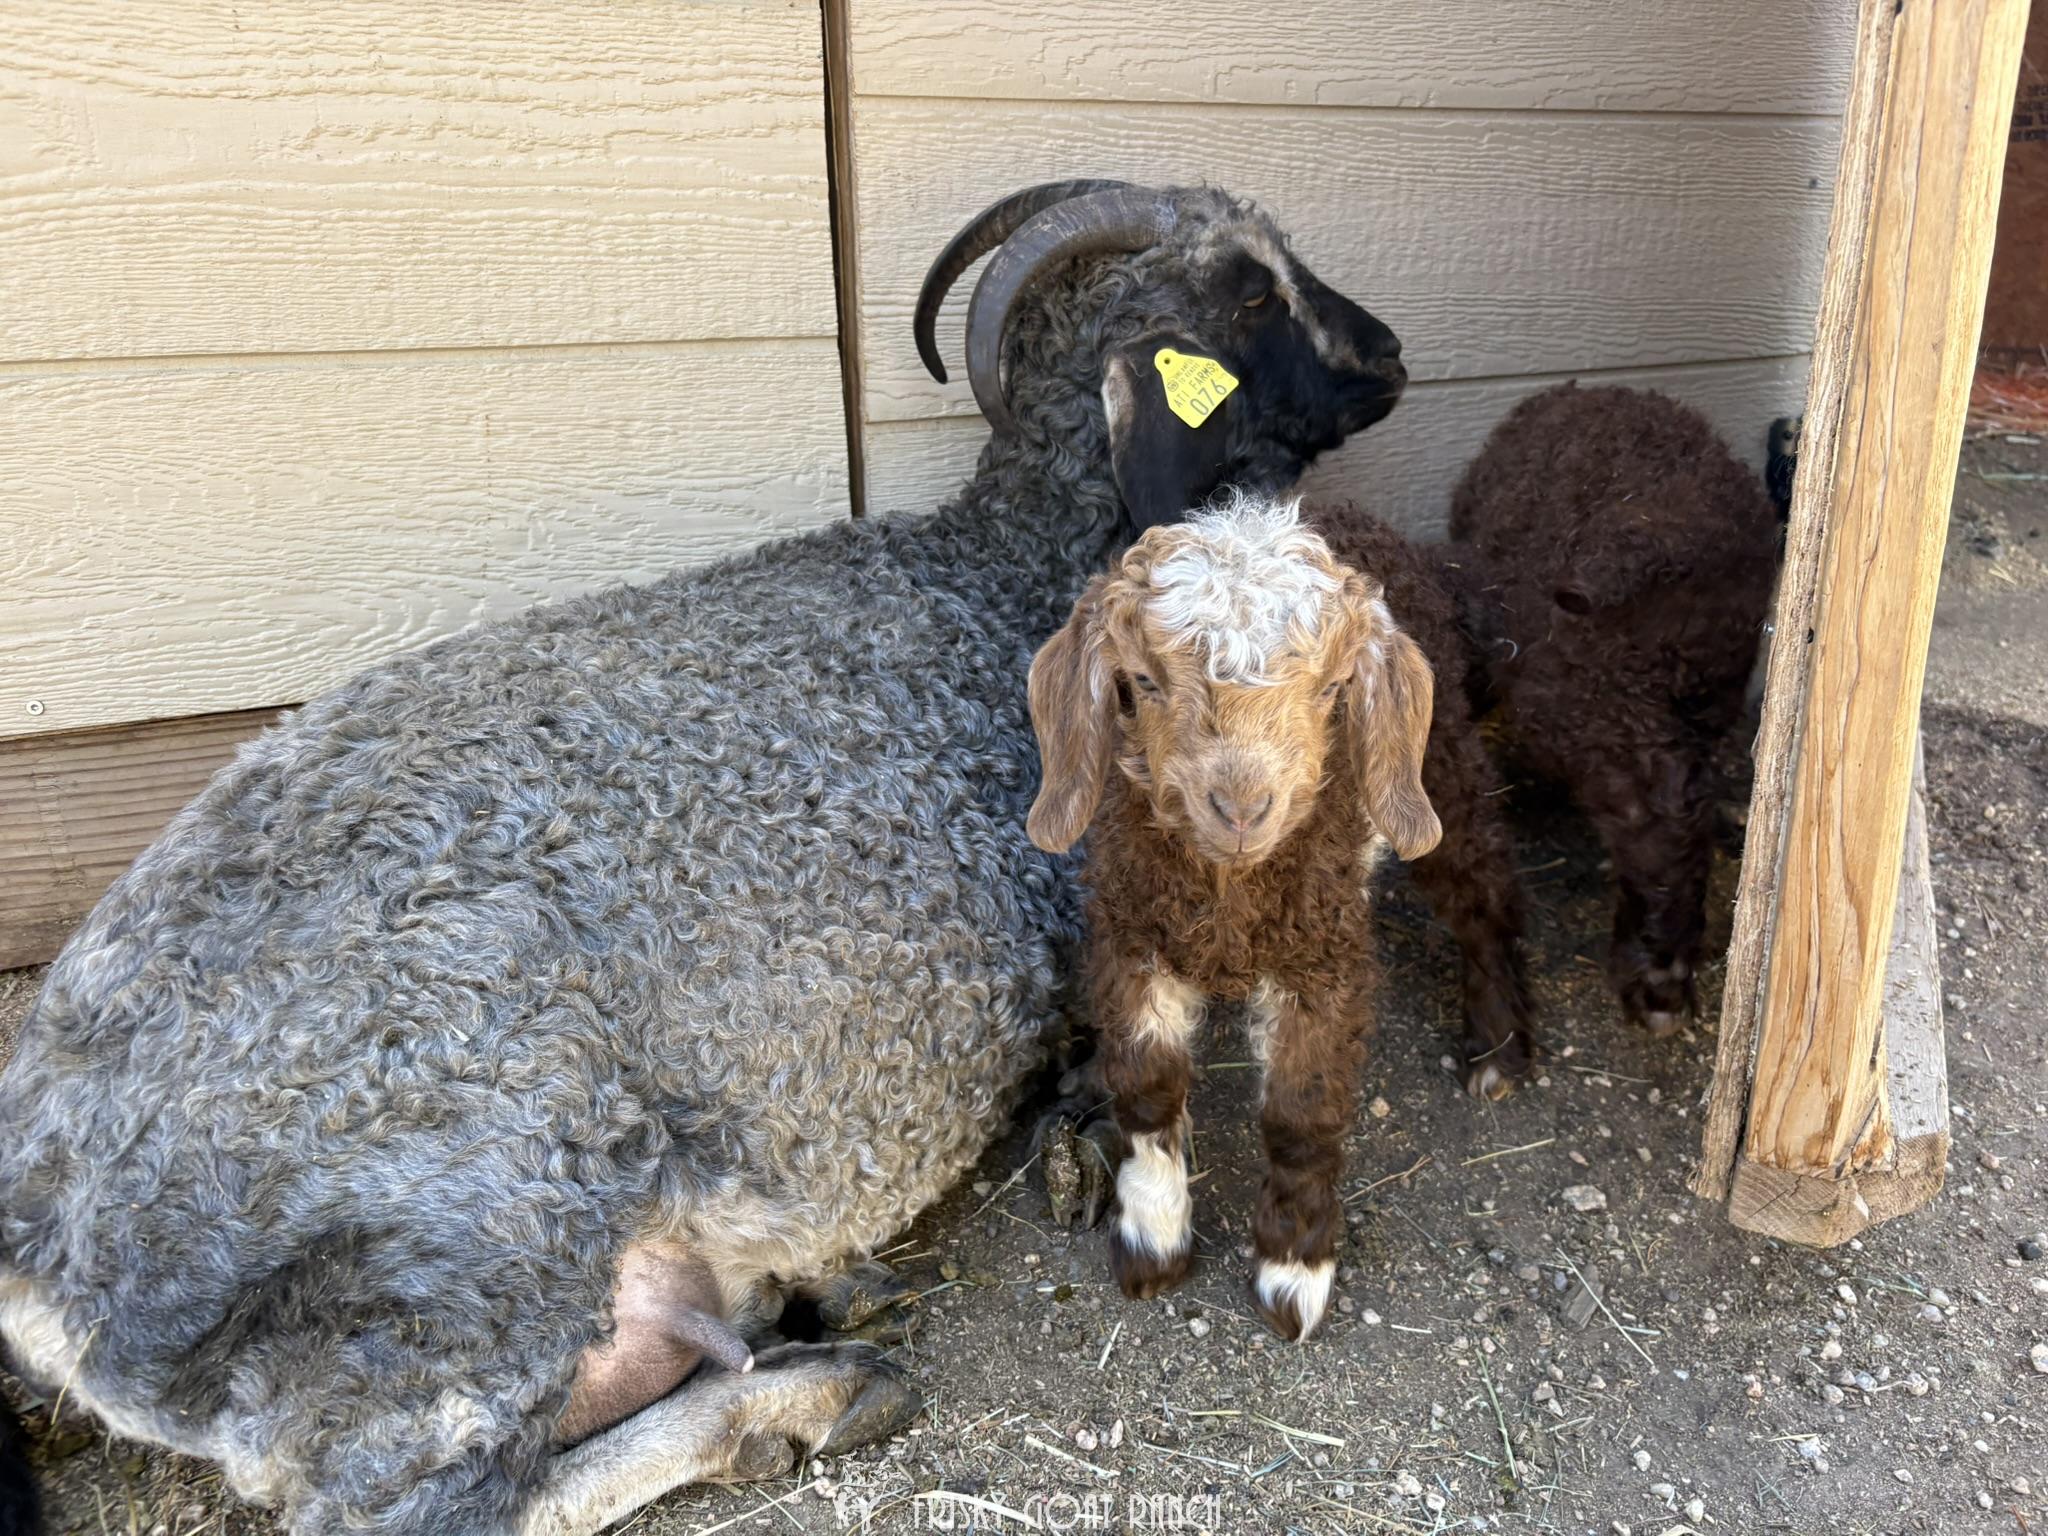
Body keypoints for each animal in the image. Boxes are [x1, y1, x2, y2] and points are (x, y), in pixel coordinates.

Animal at [1025, 496, 1439, 1340]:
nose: (1243, 808)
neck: (1229, 902)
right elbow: (1147, 1085)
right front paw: (1152, 1239)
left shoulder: (1325, 959)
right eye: (1142, 681)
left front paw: (1293, 1272)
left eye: (1332, 689)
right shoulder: (1131, 939)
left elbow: (1302, 1114)